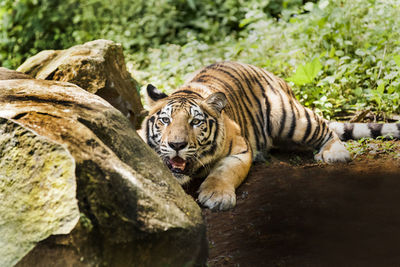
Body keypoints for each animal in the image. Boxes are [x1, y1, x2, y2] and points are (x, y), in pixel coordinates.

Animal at [138, 61, 400, 211]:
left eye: (195, 122)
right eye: (165, 120)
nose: (177, 145)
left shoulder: (241, 150)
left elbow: (224, 172)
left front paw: (217, 196)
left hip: (290, 118)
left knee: (326, 128)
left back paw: (335, 154)